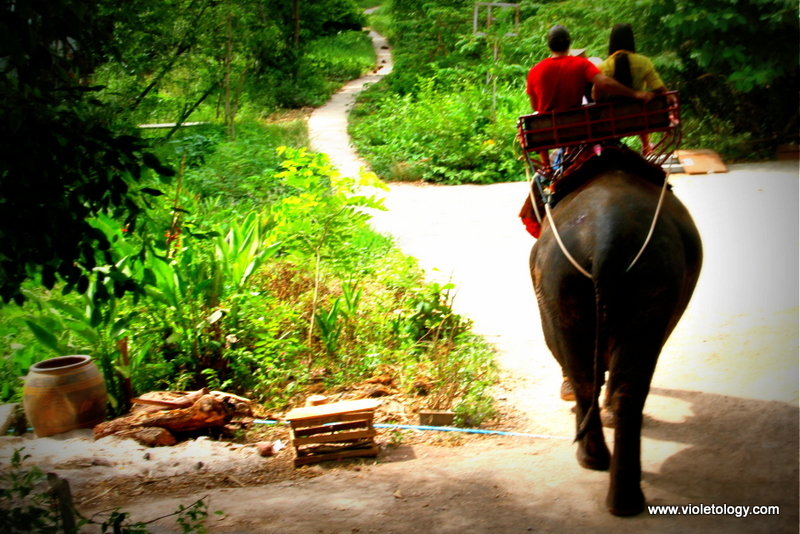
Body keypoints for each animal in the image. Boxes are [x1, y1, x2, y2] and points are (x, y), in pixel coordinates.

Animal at [528, 146, 702, 516]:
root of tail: (608, 238)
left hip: (558, 277)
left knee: (584, 375)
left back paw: (591, 460)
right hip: (653, 279)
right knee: (629, 385)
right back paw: (624, 499)